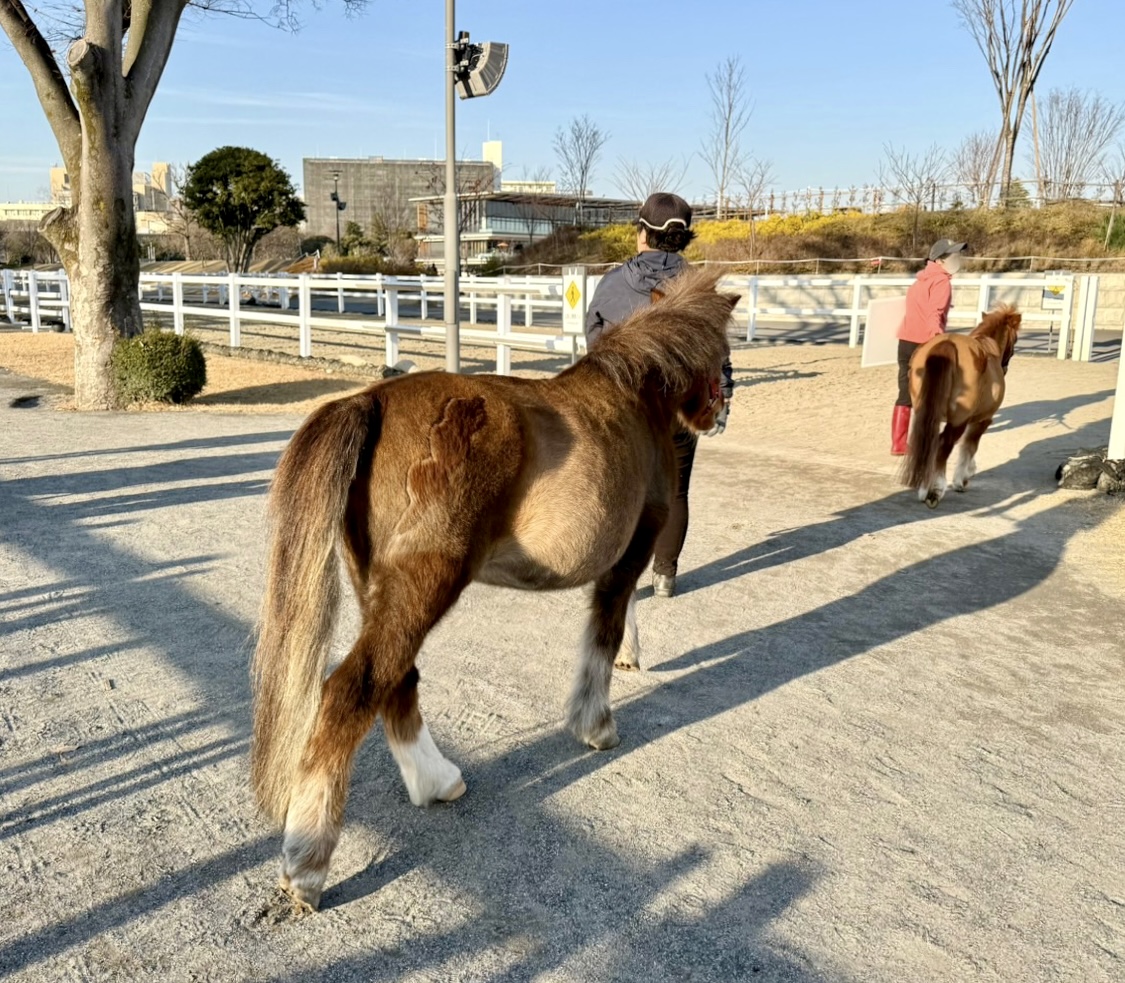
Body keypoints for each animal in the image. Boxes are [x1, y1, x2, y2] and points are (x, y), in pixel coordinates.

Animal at [250, 267, 737, 910]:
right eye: (724, 352)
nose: (719, 410)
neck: (632, 398)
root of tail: (370, 399)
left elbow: (618, 617)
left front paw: (631, 660)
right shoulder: (636, 546)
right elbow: (605, 629)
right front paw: (597, 725)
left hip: (379, 585)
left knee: (397, 681)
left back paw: (438, 783)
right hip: (427, 581)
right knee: (356, 688)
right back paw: (307, 865)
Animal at [901, 303, 1021, 508]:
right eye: (1016, 338)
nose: (1005, 368)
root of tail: (947, 344)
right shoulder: (982, 420)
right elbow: (970, 446)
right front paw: (962, 479)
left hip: (925, 413)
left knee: (928, 443)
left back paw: (924, 488)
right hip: (958, 420)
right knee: (943, 444)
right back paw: (935, 490)